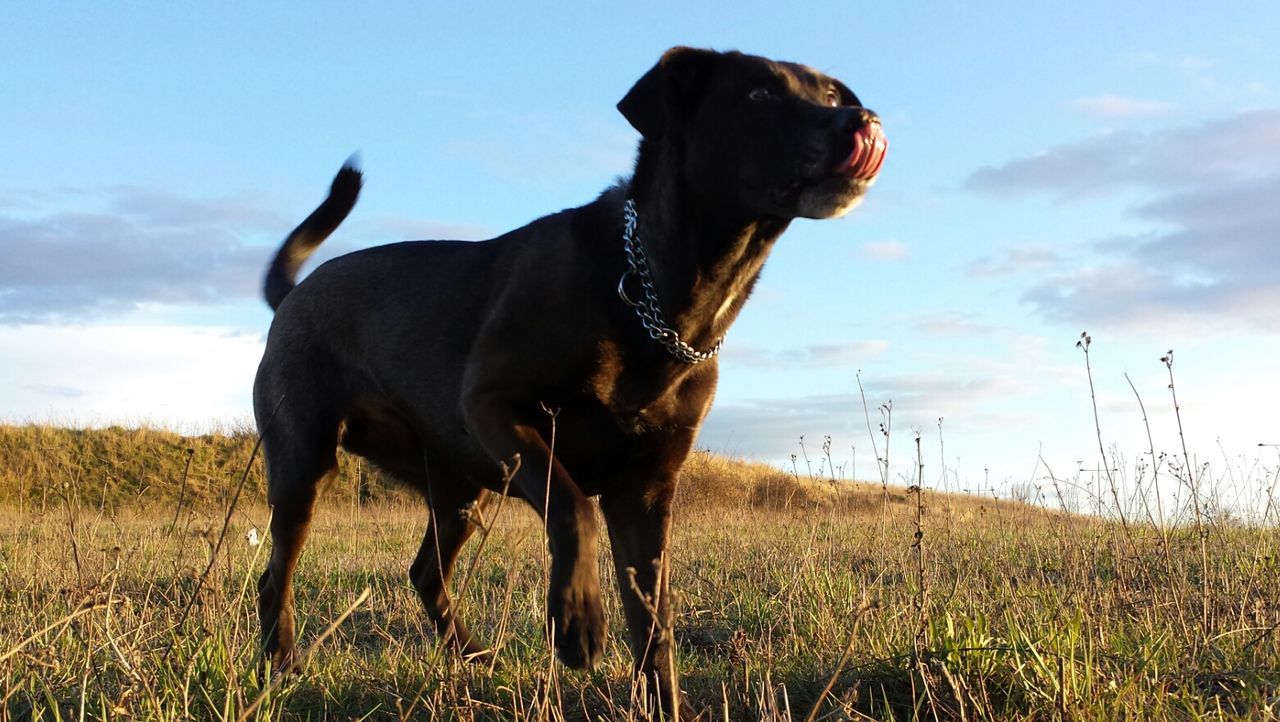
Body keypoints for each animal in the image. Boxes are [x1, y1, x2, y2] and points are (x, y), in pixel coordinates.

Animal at [254, 46, 885, 716]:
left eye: (829, 94)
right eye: (760, 93)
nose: (862, 121)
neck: (655, 293)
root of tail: (293, 295)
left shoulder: (646, 491)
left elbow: (654, 620)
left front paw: (664, 704)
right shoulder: (495, 407)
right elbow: (572, 503)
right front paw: (577, 621)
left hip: (460, 490)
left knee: (426, 572)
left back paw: (474, 657)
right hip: (304, 464)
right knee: (277, 573)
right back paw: (281, 664)